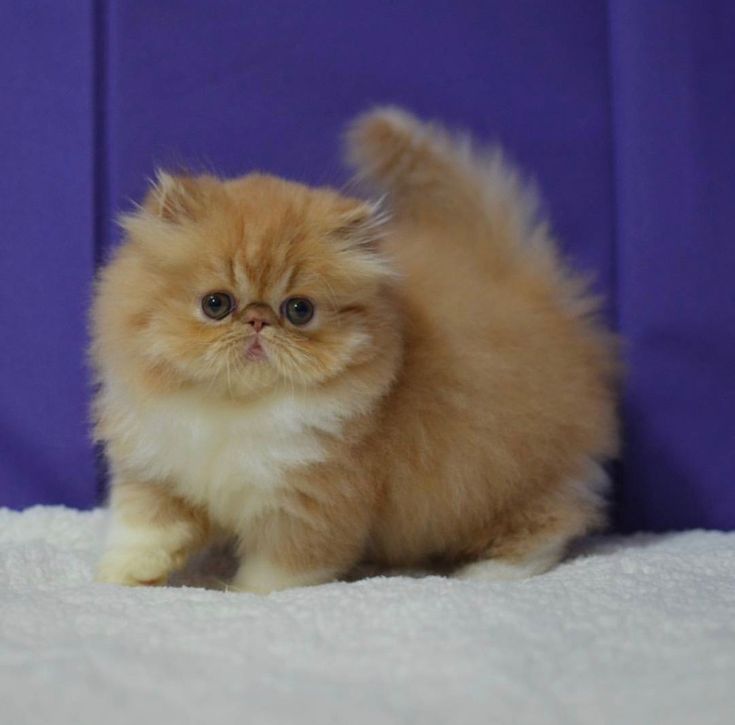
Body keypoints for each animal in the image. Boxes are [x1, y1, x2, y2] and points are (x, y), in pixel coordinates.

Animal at [93, 109, 620, 592]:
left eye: (299, 310)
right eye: (216, 304)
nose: (259, 321)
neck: (236, 409)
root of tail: (525, 284)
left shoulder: (313, 500)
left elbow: (279, 571)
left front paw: (242, 594)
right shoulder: (160, 468)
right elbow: (146, 527)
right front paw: (124, 574)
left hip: (514, 480)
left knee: (553, 523)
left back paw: (486, 573)